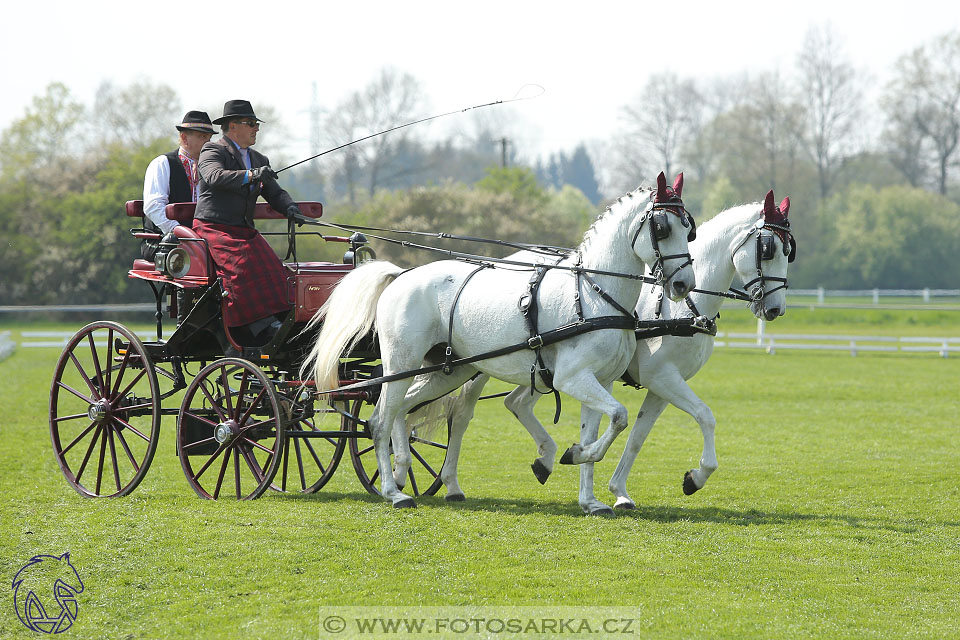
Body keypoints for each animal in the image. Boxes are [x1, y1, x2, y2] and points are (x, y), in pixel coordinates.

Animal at [304, 172, 692, 508]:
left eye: (689, 229)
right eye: (662, 227)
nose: (683, 284)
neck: (593, 293)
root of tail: (401, 275)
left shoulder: (600, 381)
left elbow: (602, 426)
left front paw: (589, 497)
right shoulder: (572, 378)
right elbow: (620, 417)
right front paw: (573, 456)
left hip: (447, 371)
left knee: (401, 410)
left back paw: (401, 471)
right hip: (402, 363)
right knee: (380, 419)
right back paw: (392, 491)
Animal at [414, 190, 796, 516]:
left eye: (787, 250)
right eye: (767, 248)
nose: (775, 309)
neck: (681, 306)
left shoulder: (660, 386)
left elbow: (638, 437)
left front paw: (619, 491)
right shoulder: (662, 377)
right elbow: (705, 416)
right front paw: (695, 477)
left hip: (534, 369)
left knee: (515, 403)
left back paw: (543, 460)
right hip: (479, 366)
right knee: (461, 415)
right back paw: (451, 484)